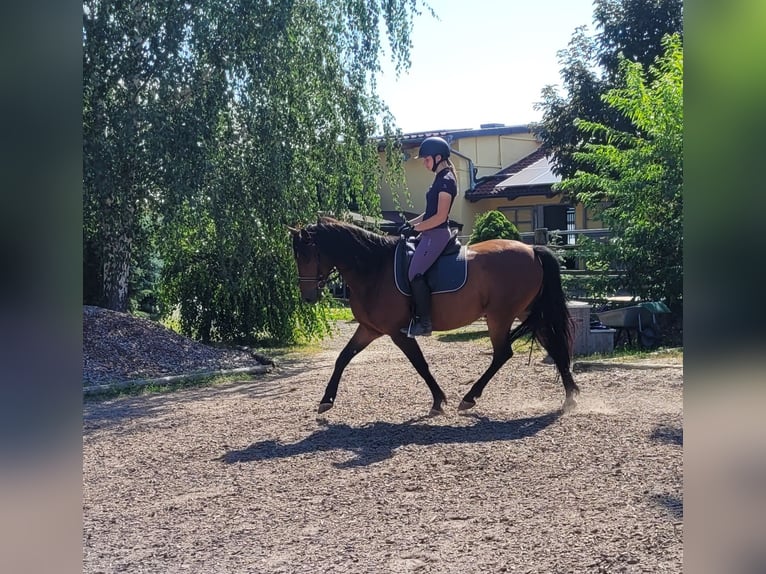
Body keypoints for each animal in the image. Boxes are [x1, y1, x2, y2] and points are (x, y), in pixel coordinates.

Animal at [292, 218, 580, 416]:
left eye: (308, 255)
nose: (308, 297)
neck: (374, 268)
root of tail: (532, 250)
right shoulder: (369, 329)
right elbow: (342, 358)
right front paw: (326, 400)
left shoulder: (397, 332)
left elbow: (420, 364)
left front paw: (438, 400)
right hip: (525, 311)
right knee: (552, 345)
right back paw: (570, 397)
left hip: (500, 315)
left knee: (503, 353)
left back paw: (470, 397)